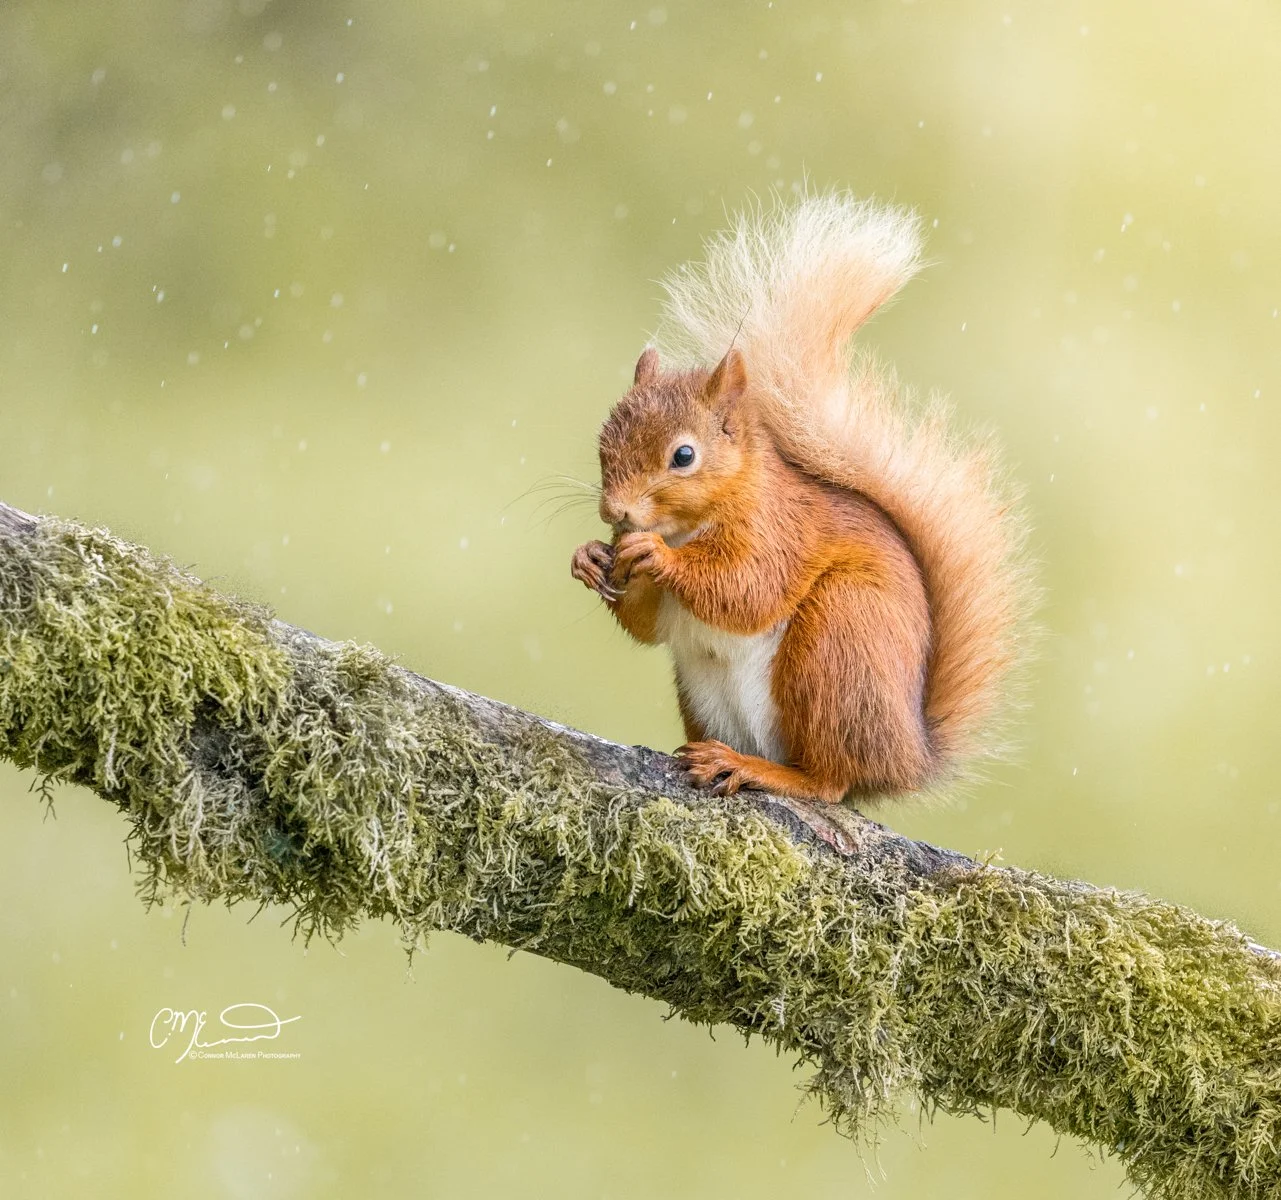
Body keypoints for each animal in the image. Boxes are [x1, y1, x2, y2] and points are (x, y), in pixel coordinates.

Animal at [571, 193, 1031, 804]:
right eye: (602, 442)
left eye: (684, 456)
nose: (615, 512)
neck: (693, 523)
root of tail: (904, 757)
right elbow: (648, 626)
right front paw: (589, 558)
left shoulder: (781, 533)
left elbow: (747, 589)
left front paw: (657, 556)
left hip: (837, 643)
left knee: (828, 780)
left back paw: (755, 768)